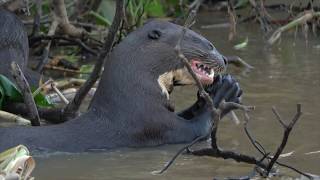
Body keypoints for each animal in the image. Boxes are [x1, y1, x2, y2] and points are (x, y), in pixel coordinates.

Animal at [0, 10, 240, 153]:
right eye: (208, 44)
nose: (225, 59)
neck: (134, 97)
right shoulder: (152, 123)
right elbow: (197, 130)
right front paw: (226, 91)